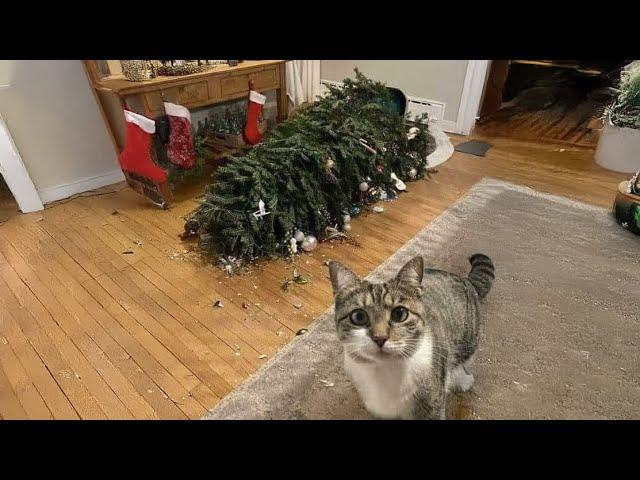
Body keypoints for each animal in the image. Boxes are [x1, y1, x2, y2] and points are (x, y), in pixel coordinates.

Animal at [330, 253, 496, 418]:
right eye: (358, 317)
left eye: (399, 313)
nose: (380, 338)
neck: (386, 371)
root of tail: (464, 279)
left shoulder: (431, 404)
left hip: (467, 339)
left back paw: (463, 380)